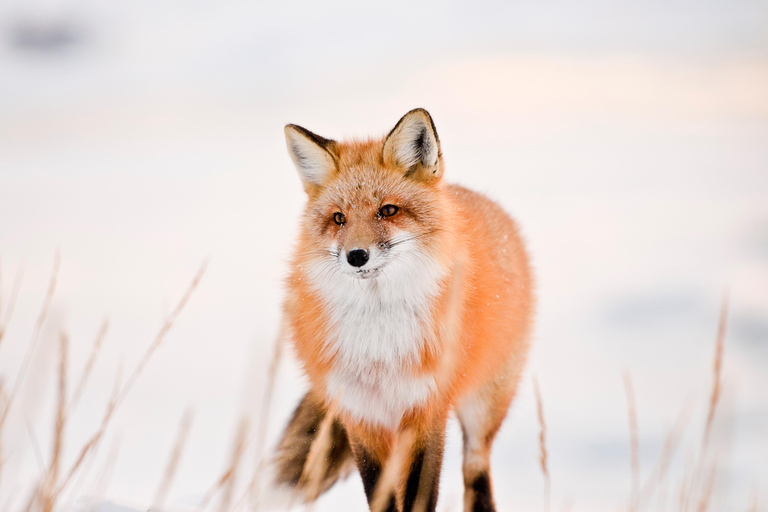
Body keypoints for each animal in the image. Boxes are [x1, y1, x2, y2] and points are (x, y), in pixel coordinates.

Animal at [272, 109, 536, 512]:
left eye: (388, 210)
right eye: (338, 219)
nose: (356, 256)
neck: (381, 344)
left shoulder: (426, 409)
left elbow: (418, 497)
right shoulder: (360, 414)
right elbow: (379, 494)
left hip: (485, 405)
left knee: (476, 471)